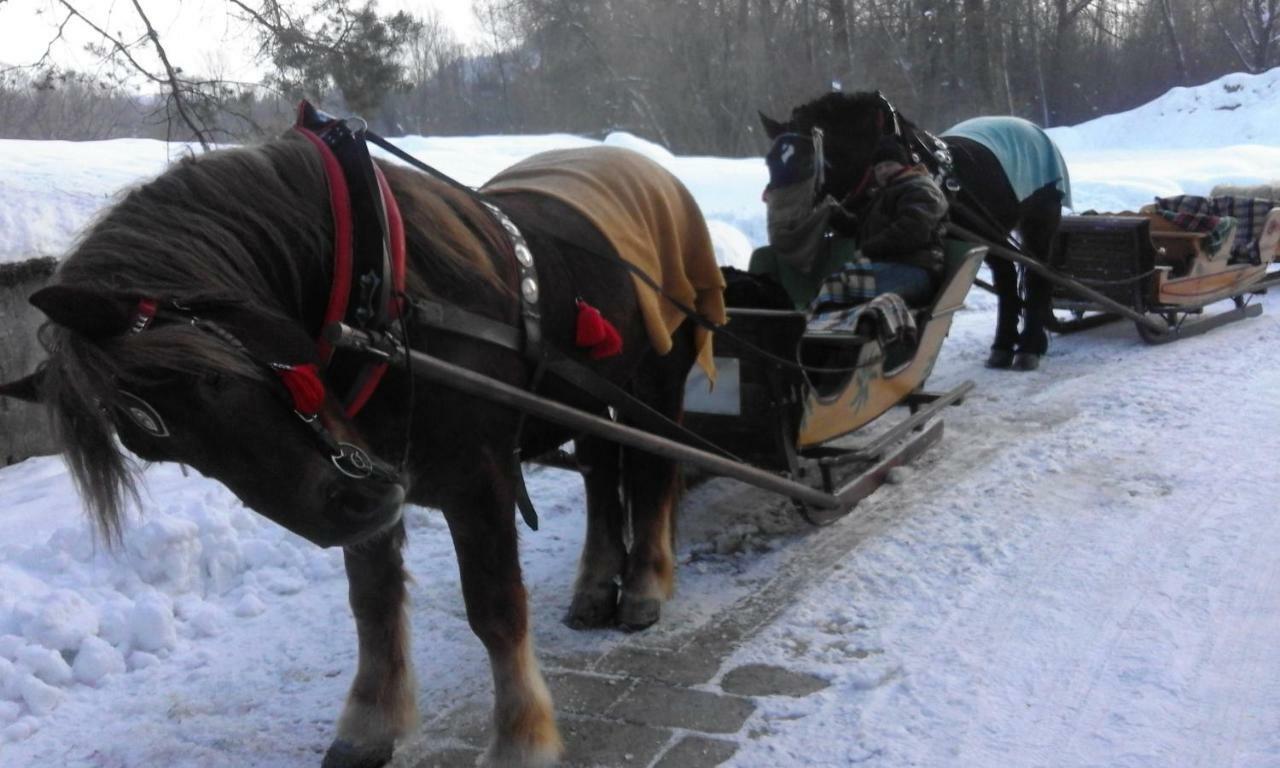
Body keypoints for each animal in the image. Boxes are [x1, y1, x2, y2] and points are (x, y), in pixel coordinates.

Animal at [0, 131, 711, 762]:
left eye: (212, 377)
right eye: (156, 447)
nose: (338, 515)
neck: (376, 291)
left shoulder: (477, 478)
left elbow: (495, 608)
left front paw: (521, 740)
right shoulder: (373, 479)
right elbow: (372, 605)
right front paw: (369, 725)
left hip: (656, 376)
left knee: (652, 470)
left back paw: (644, 583)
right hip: (590, 397)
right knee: (601, 471)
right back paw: (595, 585)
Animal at [757, 92, 1070, 368]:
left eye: (807, 160)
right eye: (768, 161)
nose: (783, 228)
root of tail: (1033, 129)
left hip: (1039, 221)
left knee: (1038, 277)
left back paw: (1029, 347)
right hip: (990, 237)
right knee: (1007, 279)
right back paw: (1004, 346)